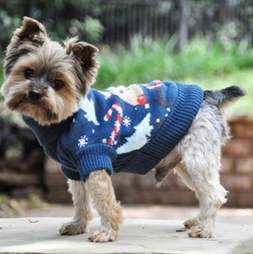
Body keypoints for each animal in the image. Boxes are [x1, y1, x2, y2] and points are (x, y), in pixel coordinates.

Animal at [0, 17, 245, 242]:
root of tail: (210, 95)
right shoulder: (73, 167)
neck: (66, 118)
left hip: (196, 158)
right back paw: (198, 221)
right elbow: (80, 199)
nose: (34, 93)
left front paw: (107, 232)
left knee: (214, 194)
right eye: (28, 73)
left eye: (58, 83)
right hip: (184, 163)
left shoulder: (94, 157)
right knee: (207, 192)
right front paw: (77, 224)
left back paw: (205, 230)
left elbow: (104, 200)